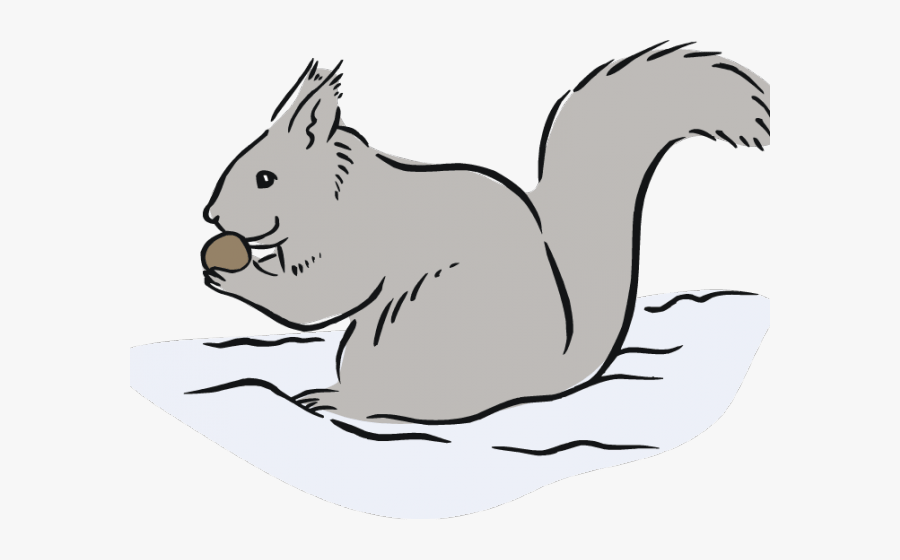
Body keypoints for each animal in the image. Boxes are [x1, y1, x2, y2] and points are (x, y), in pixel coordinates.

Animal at [202, 43, 770, 424]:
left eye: (265, 178)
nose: (211, 216)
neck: (334, 192)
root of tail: (543, 375)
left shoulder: (357, 243)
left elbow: (318, 298)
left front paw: (233, 276)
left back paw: (339, 399)